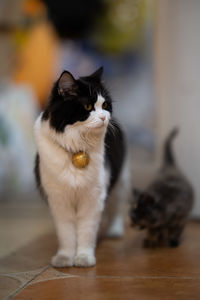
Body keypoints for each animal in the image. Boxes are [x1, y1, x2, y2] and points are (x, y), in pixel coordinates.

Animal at [34, 67, 130, 268]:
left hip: (120, 182)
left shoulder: (93, 198)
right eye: (87, 107)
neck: (76, 150)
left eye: (105, 105)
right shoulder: (59, 200)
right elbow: (66, 234)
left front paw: (84, 258)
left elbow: (86, 231)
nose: (104, 117)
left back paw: (114, 231)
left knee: (116, 208)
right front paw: (64, 258)